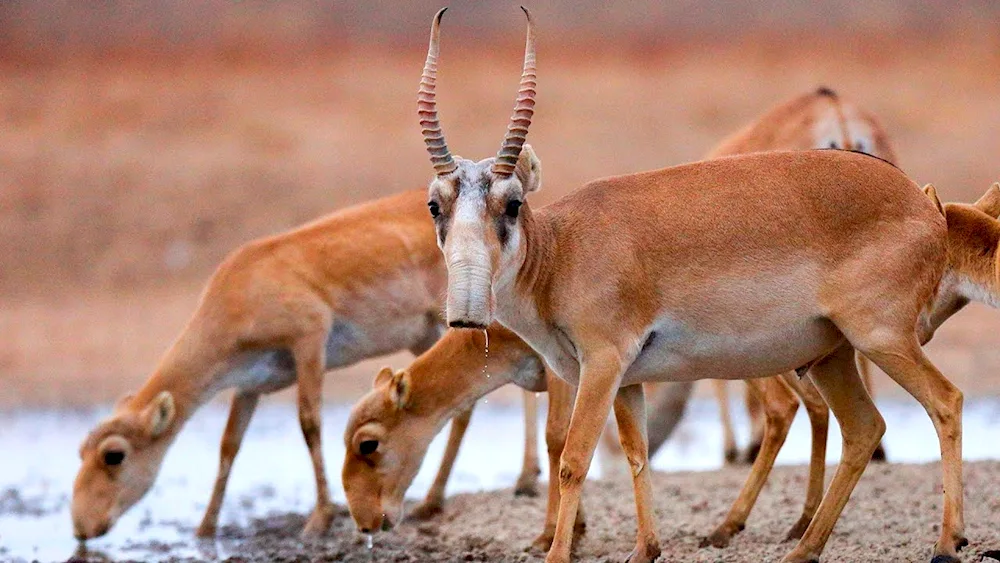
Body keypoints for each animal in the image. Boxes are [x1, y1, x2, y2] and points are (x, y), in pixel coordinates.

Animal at [412, 5, 960, 563]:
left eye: (513, 203)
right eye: (435, 204)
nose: (467, 311)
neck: (560, 251)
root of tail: (924, 204)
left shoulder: (602, 365)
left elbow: (573, 459)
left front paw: (558, 552)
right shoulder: (628, 380)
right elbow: (637, 454)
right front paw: (645, 549)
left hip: (881, 339)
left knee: (946, 402)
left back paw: (946, 543)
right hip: (831, 355)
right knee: (865, 428)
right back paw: (802, 548)